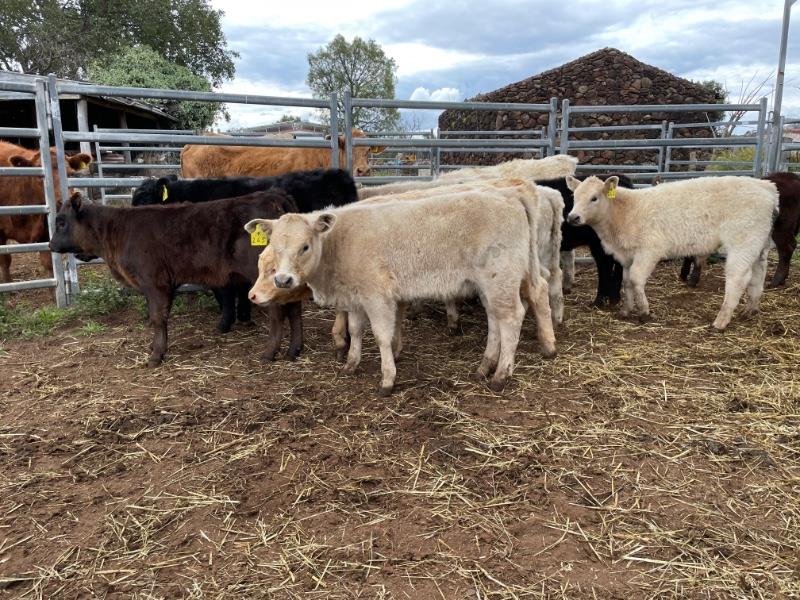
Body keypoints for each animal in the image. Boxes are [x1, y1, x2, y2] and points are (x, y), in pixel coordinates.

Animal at [0, 141, 91, 282]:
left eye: (70, 174)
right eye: (39, 176)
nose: (64, 202)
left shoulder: (45, 232)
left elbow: (49, 264)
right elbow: (5, 261)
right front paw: (7, 282)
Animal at [49, 190, 301, 367]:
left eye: (61, 221)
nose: (51, 245)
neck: (117, 232)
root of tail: (273, 195)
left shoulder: (155, 283)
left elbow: (157, 318)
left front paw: (156, 355)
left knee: (278, 313)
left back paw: (269, 353)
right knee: (295, 309)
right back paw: (294, 351)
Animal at [246, 178, 557, 395]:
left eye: (305, 246)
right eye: (274, 247)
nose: (283, 280)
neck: (339, 243)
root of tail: (511, 194)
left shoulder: (377, 296)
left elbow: (382, 336)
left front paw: (387, 378)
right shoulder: (356, 297)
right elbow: (356, 331)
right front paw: (351, 363)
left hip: (501, 278)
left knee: (513, 317)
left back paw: (502, 374)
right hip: (491, 284)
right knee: (500, 317)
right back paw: (486, 366)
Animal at [566, 175, 779, 330]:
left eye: (594, 197)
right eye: (574, 197)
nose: (572, 217)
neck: (624, 212)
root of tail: (766, 187)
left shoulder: (649, 250)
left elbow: (636, 279)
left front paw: (644, 312)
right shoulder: (626, 256)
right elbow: (627, 282)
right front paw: (626, 309)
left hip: (743, 243)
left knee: (738, 279)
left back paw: (721, 321)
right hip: (758, 244)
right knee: (758, 274)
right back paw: (751, 309)